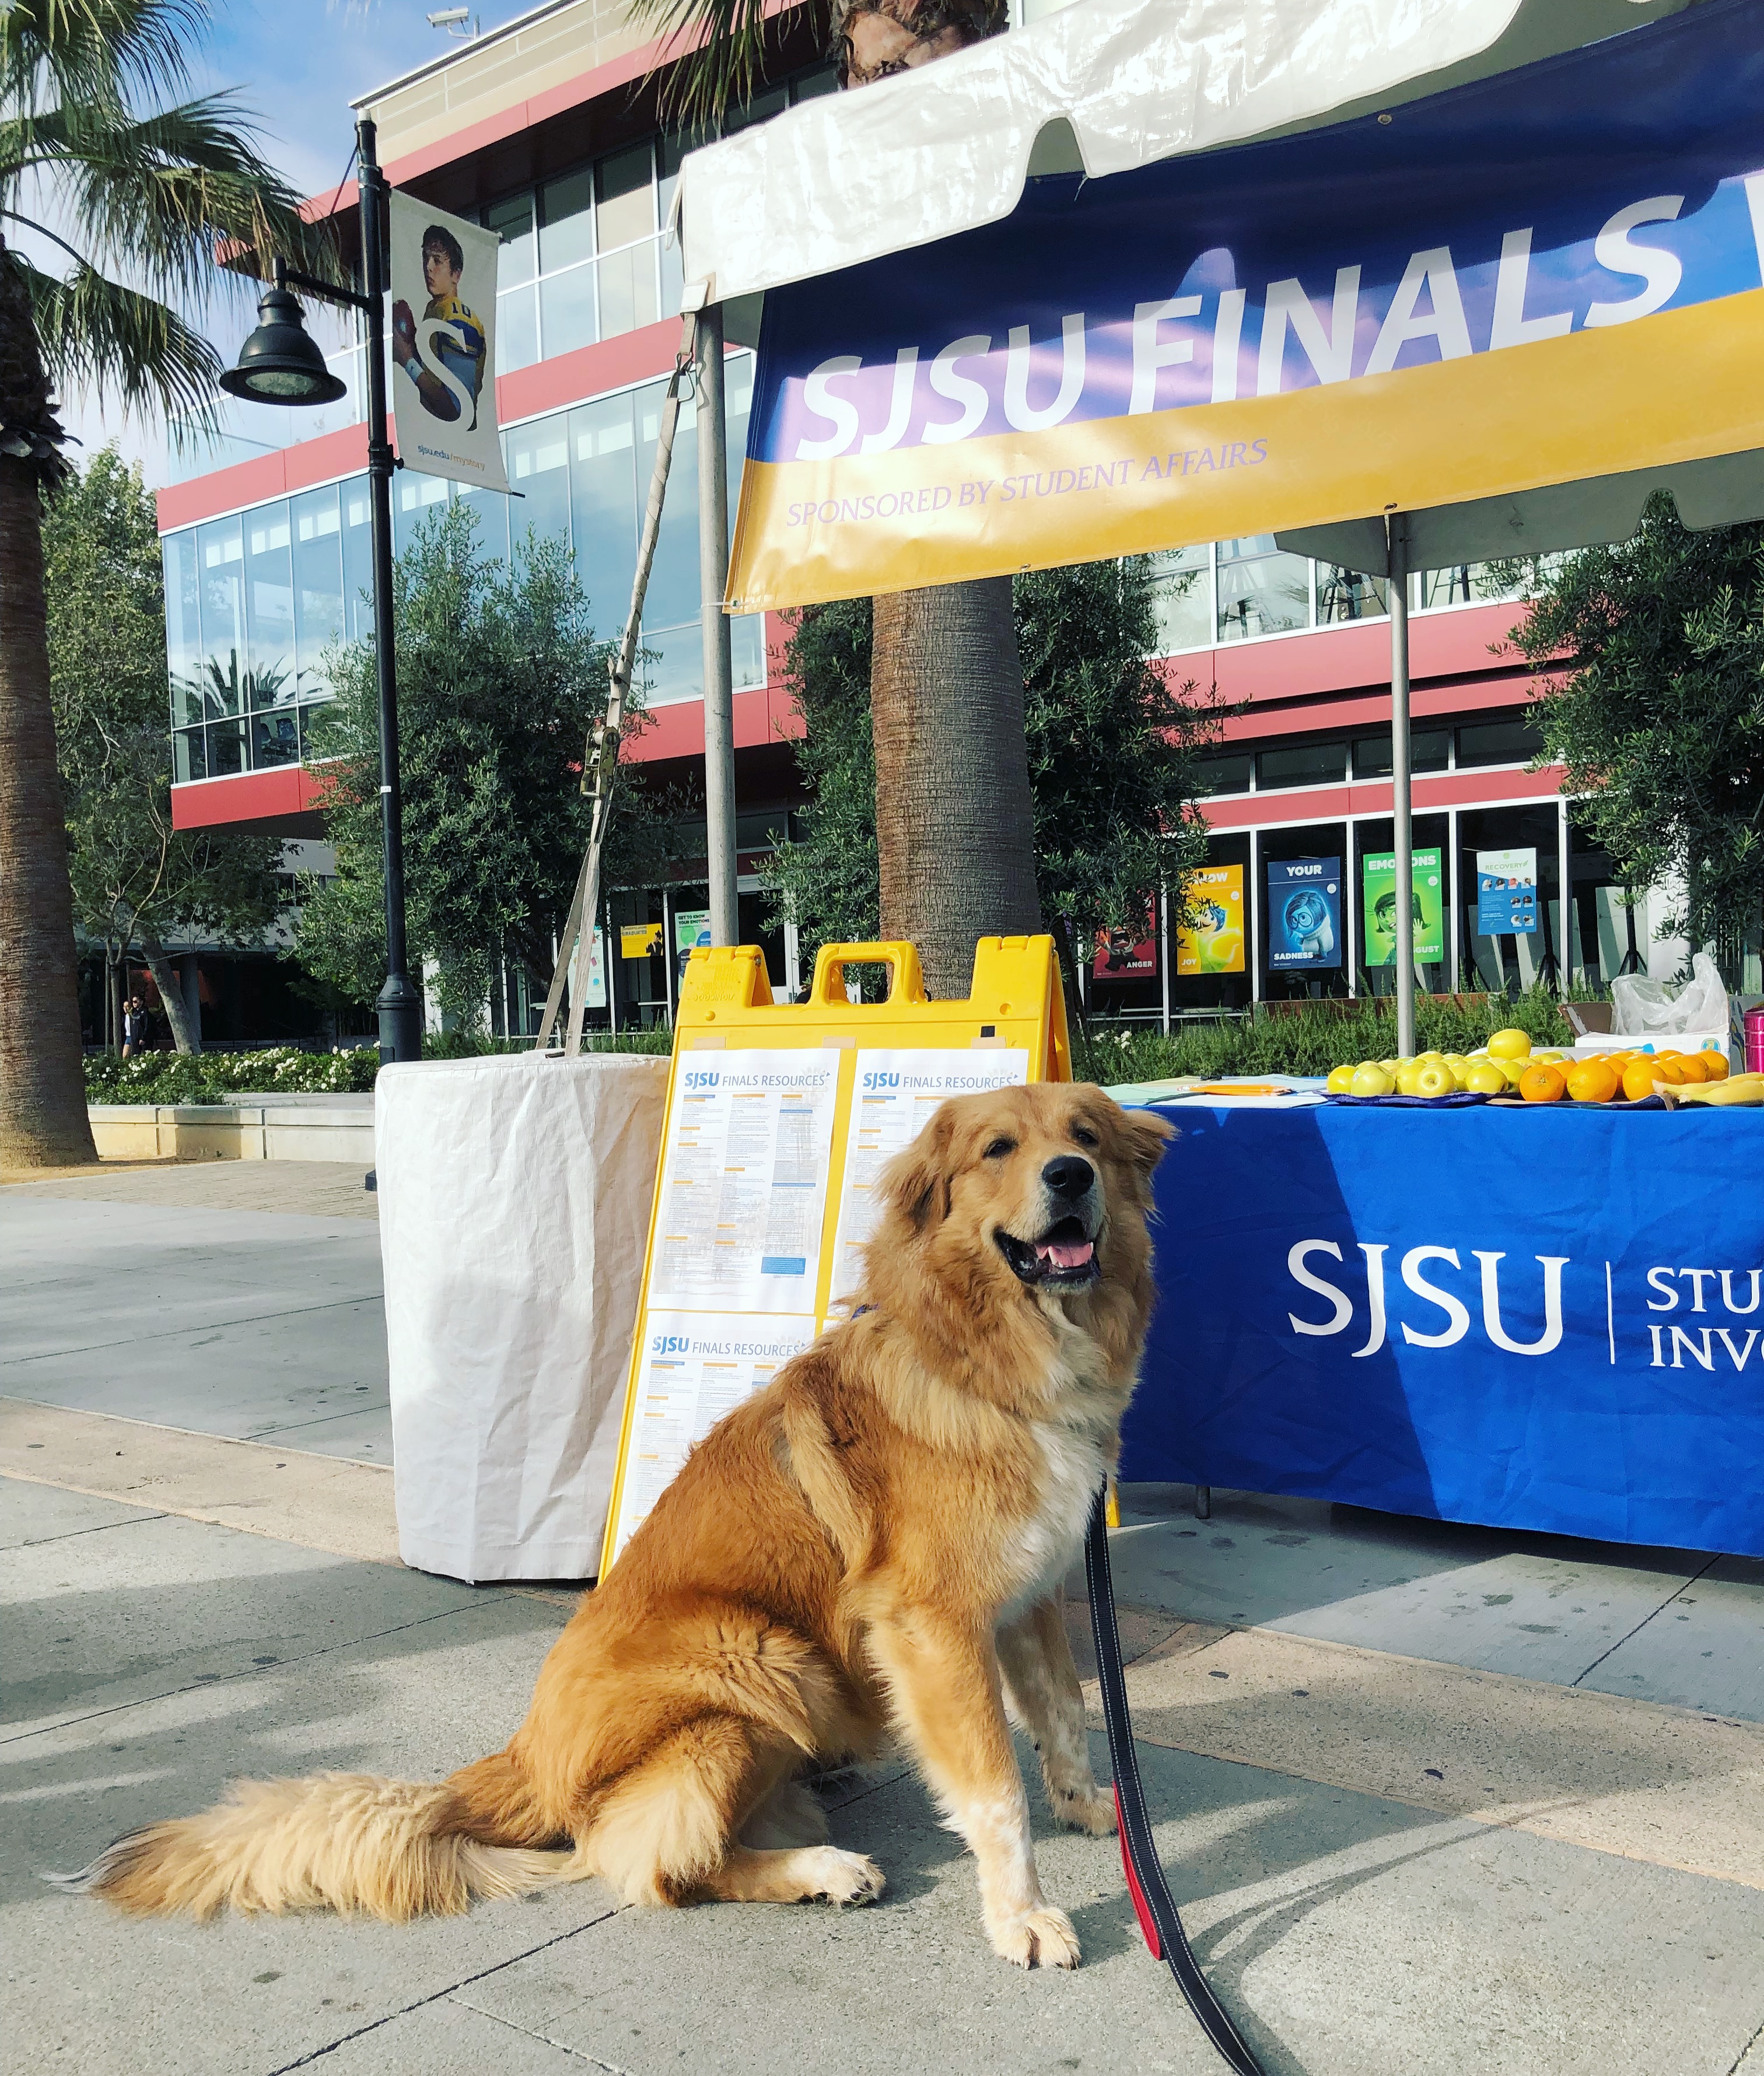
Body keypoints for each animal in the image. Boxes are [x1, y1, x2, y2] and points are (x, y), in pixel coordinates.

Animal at [68, 1079, 1170, 1968]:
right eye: (997, 1148)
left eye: (1084, 1134)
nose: (1069, 1175)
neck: (983, 1356)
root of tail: (522, 1760)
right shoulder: (932, 1623)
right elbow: (993, 1789)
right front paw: (1021, 1915)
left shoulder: (1028, 1592)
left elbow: (1064, 1714)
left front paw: (1097, 1812)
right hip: (757, 1660)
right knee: (652, 1862)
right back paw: (819, 1864)